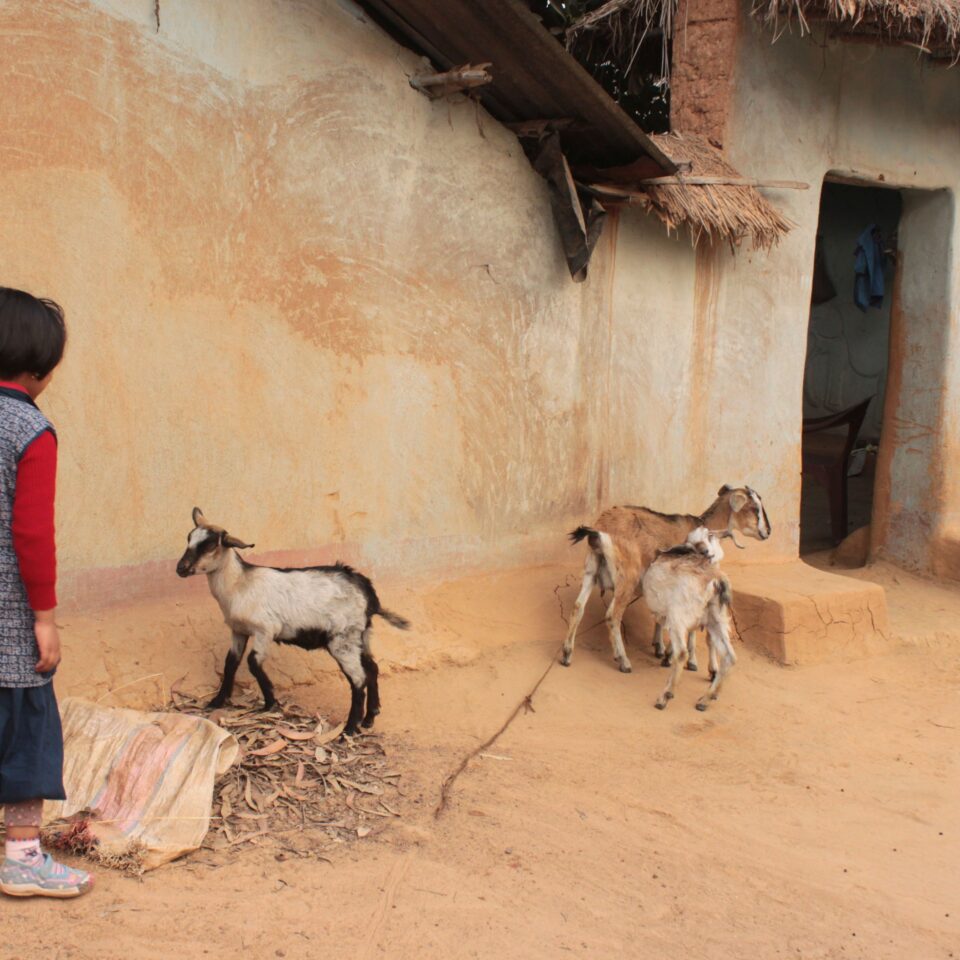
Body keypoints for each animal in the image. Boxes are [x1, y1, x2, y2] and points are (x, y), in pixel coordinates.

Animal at [564, 484, 772, 672]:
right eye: (754, 508)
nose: (767, 532)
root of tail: (601, 529)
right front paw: (686, 660)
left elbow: (662, 617)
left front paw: (661, 649)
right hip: (627, 577)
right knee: (612, 616)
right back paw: (623, 661)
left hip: (591, 570)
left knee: (578, 607)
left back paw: (566, 655)